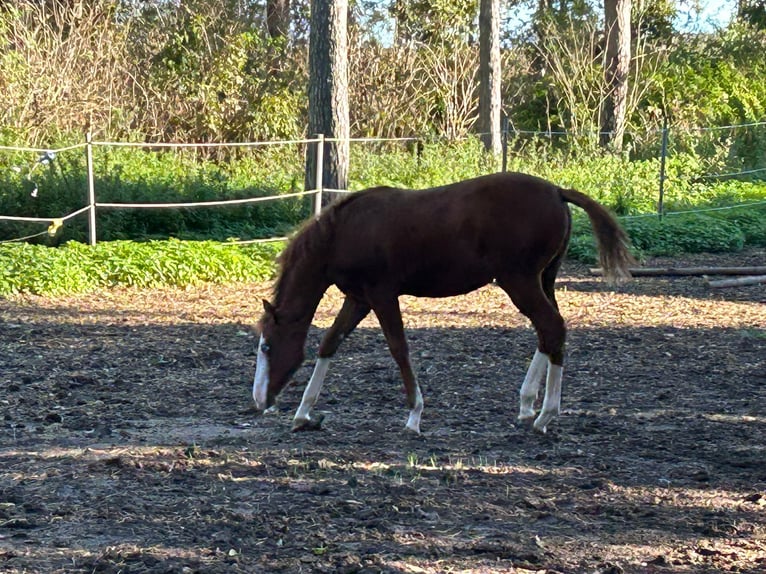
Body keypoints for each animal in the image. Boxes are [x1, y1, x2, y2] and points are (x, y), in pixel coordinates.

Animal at [254, 171, 636, 436]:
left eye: (267, 347)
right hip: (544, 280)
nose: (260, 401)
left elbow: (398, 348)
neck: (344, 231)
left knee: (552, 327)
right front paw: (303, 413)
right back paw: (529, 405)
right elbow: (330, 343)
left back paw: (544, 416)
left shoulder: (382, 294)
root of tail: (558, 191)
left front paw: (414, 416)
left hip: (520, 282)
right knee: (549, 333)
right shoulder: (359, 298)